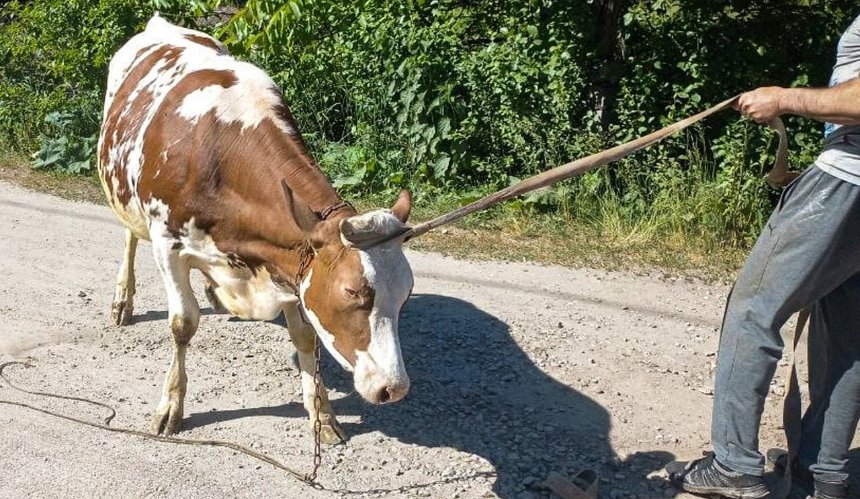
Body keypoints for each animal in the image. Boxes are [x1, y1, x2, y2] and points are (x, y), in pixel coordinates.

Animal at [97, 15, 414, 446]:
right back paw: (123, 301)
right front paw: (170, 406)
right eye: (353, 292)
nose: (393, 388)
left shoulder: (292, 265)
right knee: (130, 237)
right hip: (123, 191)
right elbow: (182, 324)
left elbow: (306, 337)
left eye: (405, 295)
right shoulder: (167, 244)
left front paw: (322, 416)